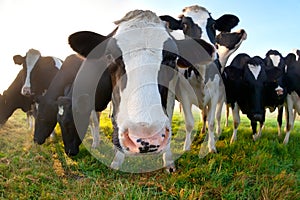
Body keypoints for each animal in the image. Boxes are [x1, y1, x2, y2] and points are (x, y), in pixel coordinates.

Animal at [159, 4, 246, 152]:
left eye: (213, 25)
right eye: (184, 25)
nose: (203, 49)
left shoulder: (216, 95)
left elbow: (211, 121)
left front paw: (211, 146)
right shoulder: (184, 95)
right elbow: (189, 123)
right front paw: (187, 147)